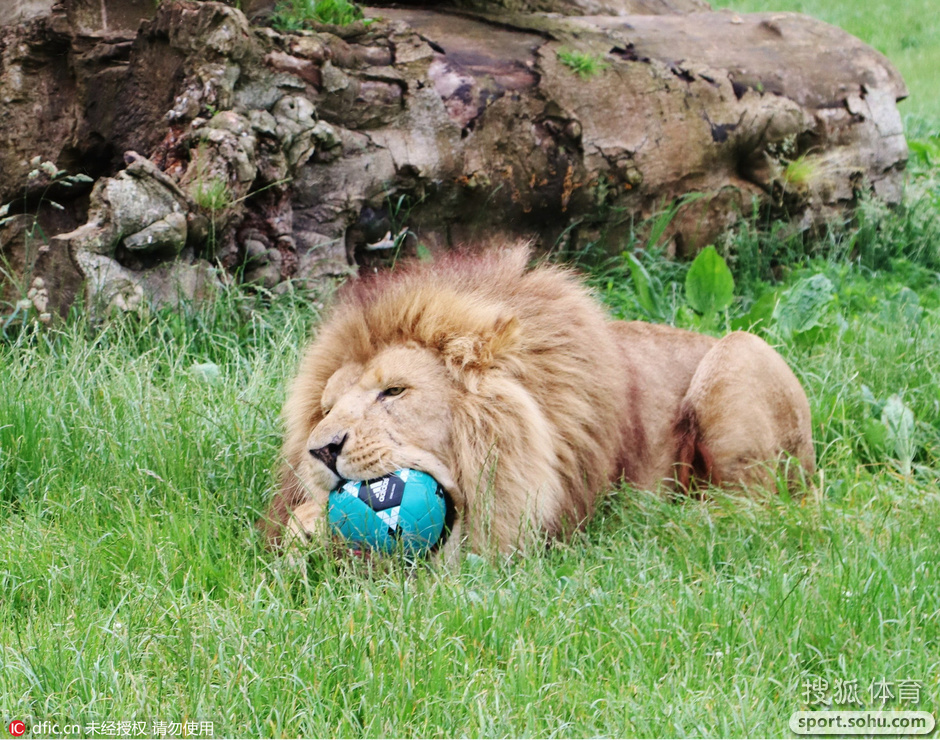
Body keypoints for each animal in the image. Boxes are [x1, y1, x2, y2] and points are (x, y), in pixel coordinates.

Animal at [260, 246, 812, 556]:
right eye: (325, 409)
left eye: (394, 390)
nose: (321, 451)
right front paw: (307, 531)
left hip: (741, 351)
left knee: (759, 505)